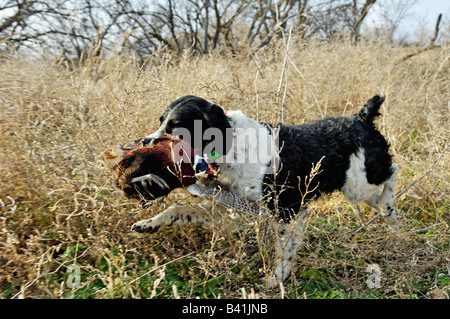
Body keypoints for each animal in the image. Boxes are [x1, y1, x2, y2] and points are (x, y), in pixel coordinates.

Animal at [132, 94, 400, 288]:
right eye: (160, 121)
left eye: (177, 127)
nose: (144, 142)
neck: (230, 146)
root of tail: (361, 118)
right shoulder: (228, 210)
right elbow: (178, 210)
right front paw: (148, 224)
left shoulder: (285, 210)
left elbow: (284, 249)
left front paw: (277, 278)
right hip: (357, 187)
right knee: (383, 197)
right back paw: (391, 219)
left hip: (359, 183)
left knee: (392, 174)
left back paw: (389, 208)